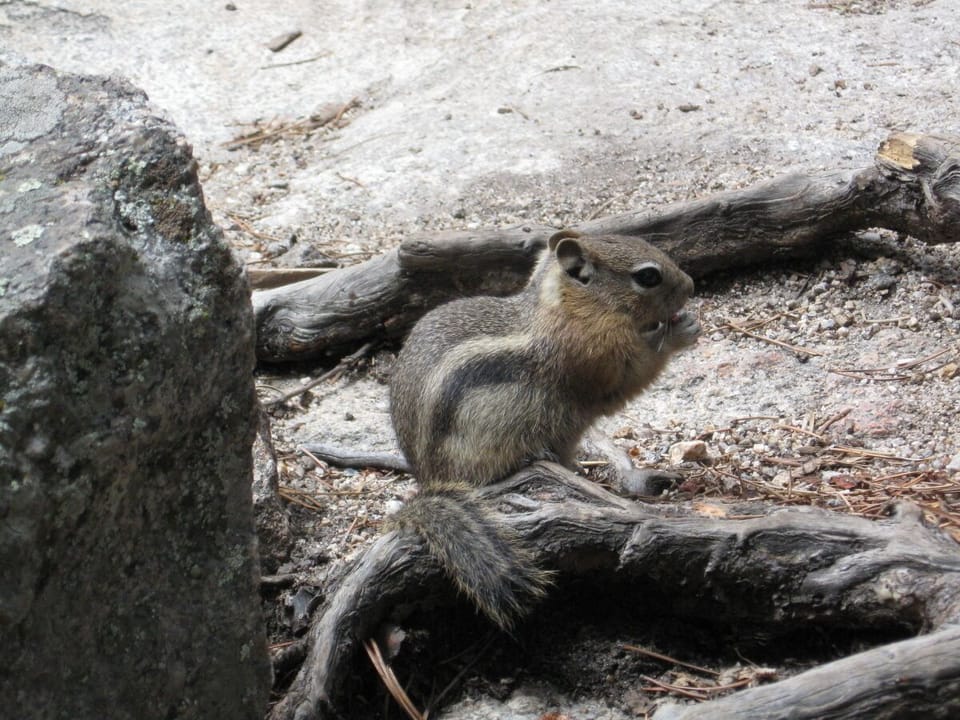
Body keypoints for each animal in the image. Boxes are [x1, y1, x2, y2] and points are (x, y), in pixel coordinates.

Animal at [387, 229, 700, 630]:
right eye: (648, 277)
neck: (570, 308)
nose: (691, 285)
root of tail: (428, 480)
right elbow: (631, 372)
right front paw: (681, 331)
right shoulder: (593, 359)